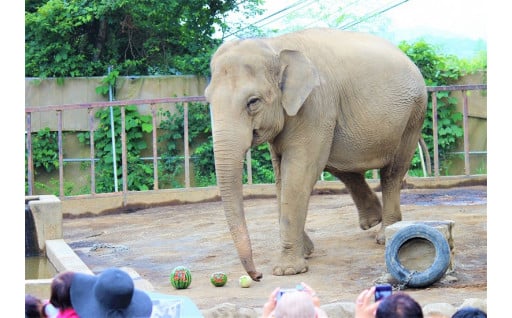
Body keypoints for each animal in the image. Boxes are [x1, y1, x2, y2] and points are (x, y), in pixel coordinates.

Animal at [204, 27, 428, 280]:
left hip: (413, 115)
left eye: (253, 102)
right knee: (340, 165)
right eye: (207, 100)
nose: (257, 275)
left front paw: (287, 270)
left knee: (392, 172)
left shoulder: (315, 105)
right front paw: (306, 253)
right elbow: (282, 178)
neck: (274, 45)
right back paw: (372, 220)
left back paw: (384, 234)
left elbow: (297, 174)